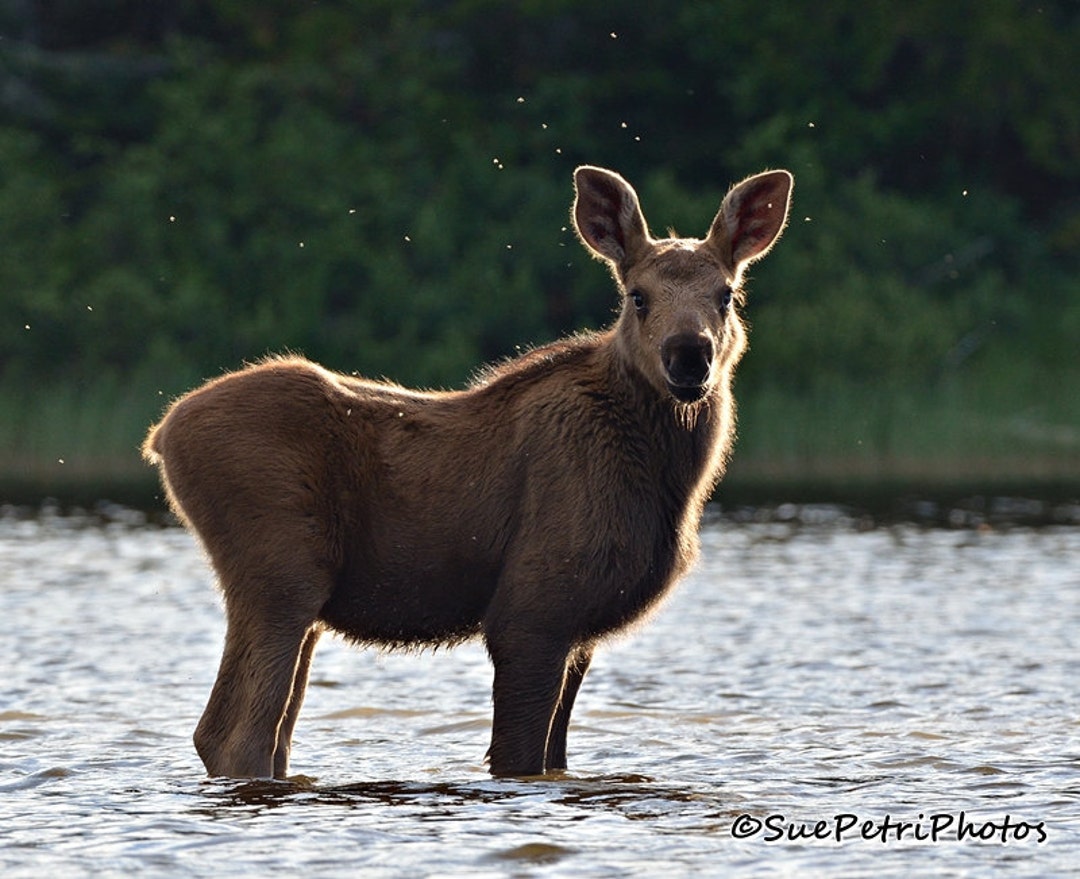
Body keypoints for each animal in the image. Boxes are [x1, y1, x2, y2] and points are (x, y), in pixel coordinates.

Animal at [143, 164, 793, 779]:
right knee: (233, 734)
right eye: (637, 295)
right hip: (280, 575)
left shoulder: (579, 633)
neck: (671, 488)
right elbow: (516, 756)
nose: (689, 354)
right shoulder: (531, 612)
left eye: (726, 293)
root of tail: (162, 436)